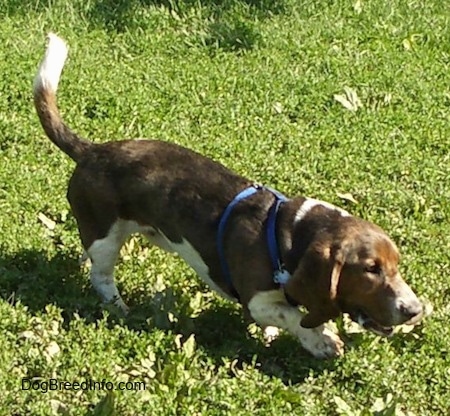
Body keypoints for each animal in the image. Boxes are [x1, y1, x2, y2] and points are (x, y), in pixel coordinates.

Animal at [33, 33, 424, 358]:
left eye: (396, 265)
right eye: (370, 269)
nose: (415, 310)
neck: (287, 238)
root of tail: (92, 151)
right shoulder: (258, 300)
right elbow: (294, 317)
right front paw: (322, 340)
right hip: (106, 239)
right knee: (102, 278)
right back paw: (120, 308)